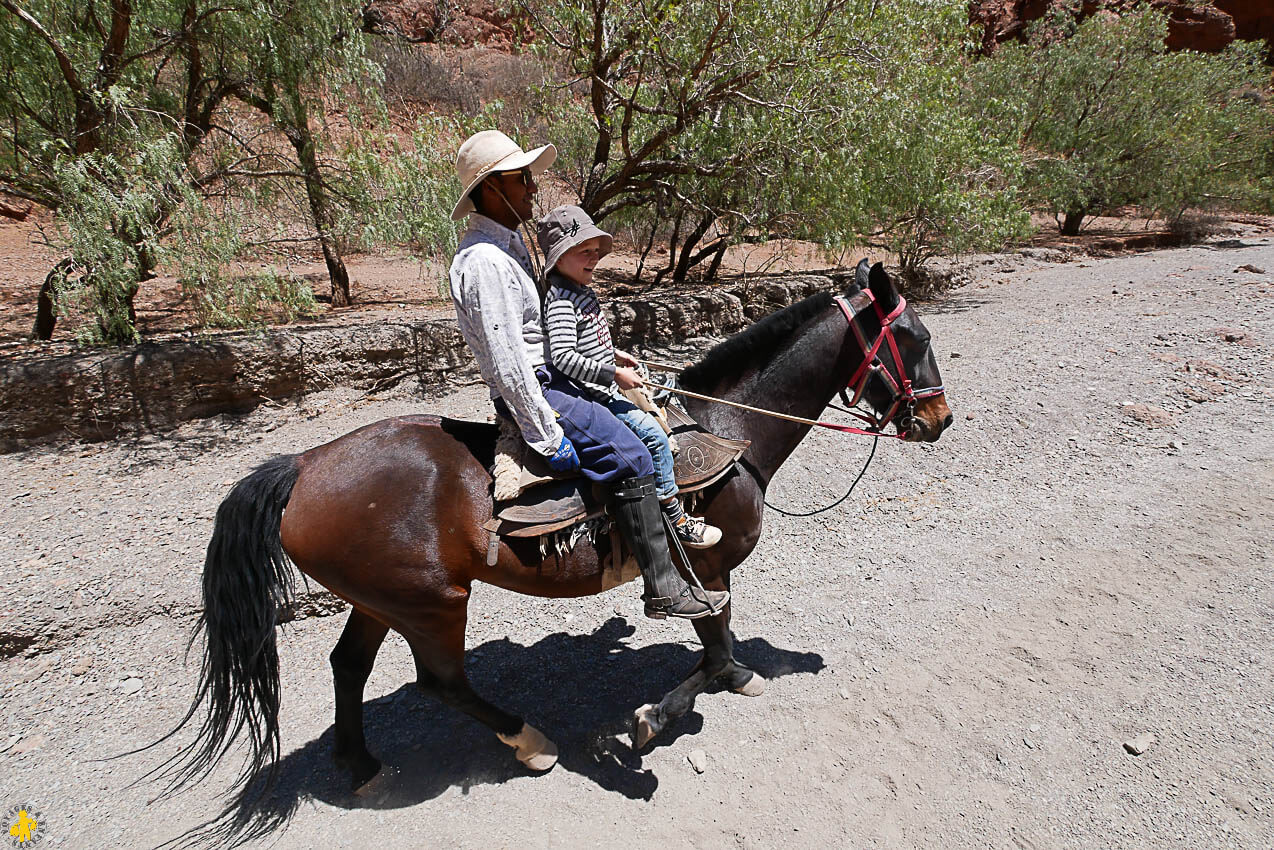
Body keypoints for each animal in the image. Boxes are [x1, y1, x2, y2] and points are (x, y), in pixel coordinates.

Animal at [164, 262, 952, 810]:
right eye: (914, 338)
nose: (939, 419)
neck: (730, 427)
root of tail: (303, 466)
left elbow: (718, 646)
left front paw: (718, 684)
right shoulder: (709, 571)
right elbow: (712, 645)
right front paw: (658, 715)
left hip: (380, 601)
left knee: (348, 667)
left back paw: (360, 766)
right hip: (432, 604)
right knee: (441, 681)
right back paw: (530, 743)